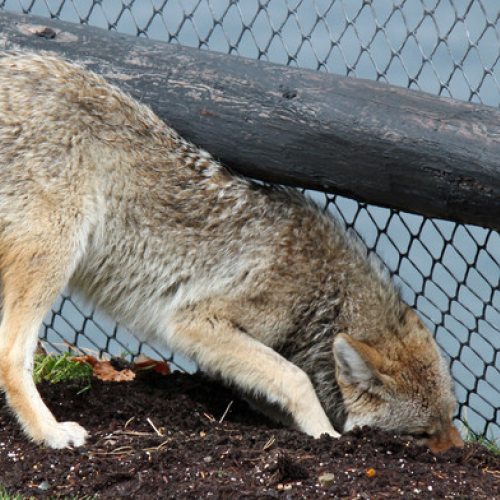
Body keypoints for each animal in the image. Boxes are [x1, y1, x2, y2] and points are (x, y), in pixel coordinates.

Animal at [0, 50, 463, 453]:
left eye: (449, 421)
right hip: (54, 255)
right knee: (11, 355)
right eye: (421, 435)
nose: (460, 454)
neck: (323, 296)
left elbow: (272, 387)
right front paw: (325, 436)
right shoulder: (196, 322)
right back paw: (51, 433)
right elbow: (297, 380)